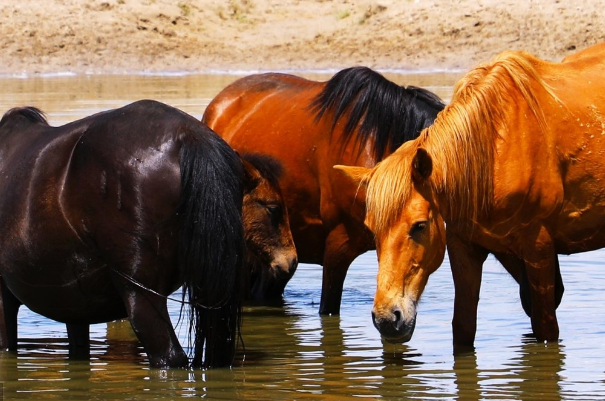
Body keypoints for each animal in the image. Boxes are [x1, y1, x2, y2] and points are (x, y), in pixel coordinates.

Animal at [0, 99, 294, 366]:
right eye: (273, 208)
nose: (290, 261)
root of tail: (189, 136)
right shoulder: (75, 307)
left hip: (141, 295)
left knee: (169, 356)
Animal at [336, 41, 605, 346]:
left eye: (419, 226)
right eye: (372, 230)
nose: (386, 319)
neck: (493, 150)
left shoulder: (539, 247)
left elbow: (546, 328)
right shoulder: (464, 246)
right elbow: (463, 328)